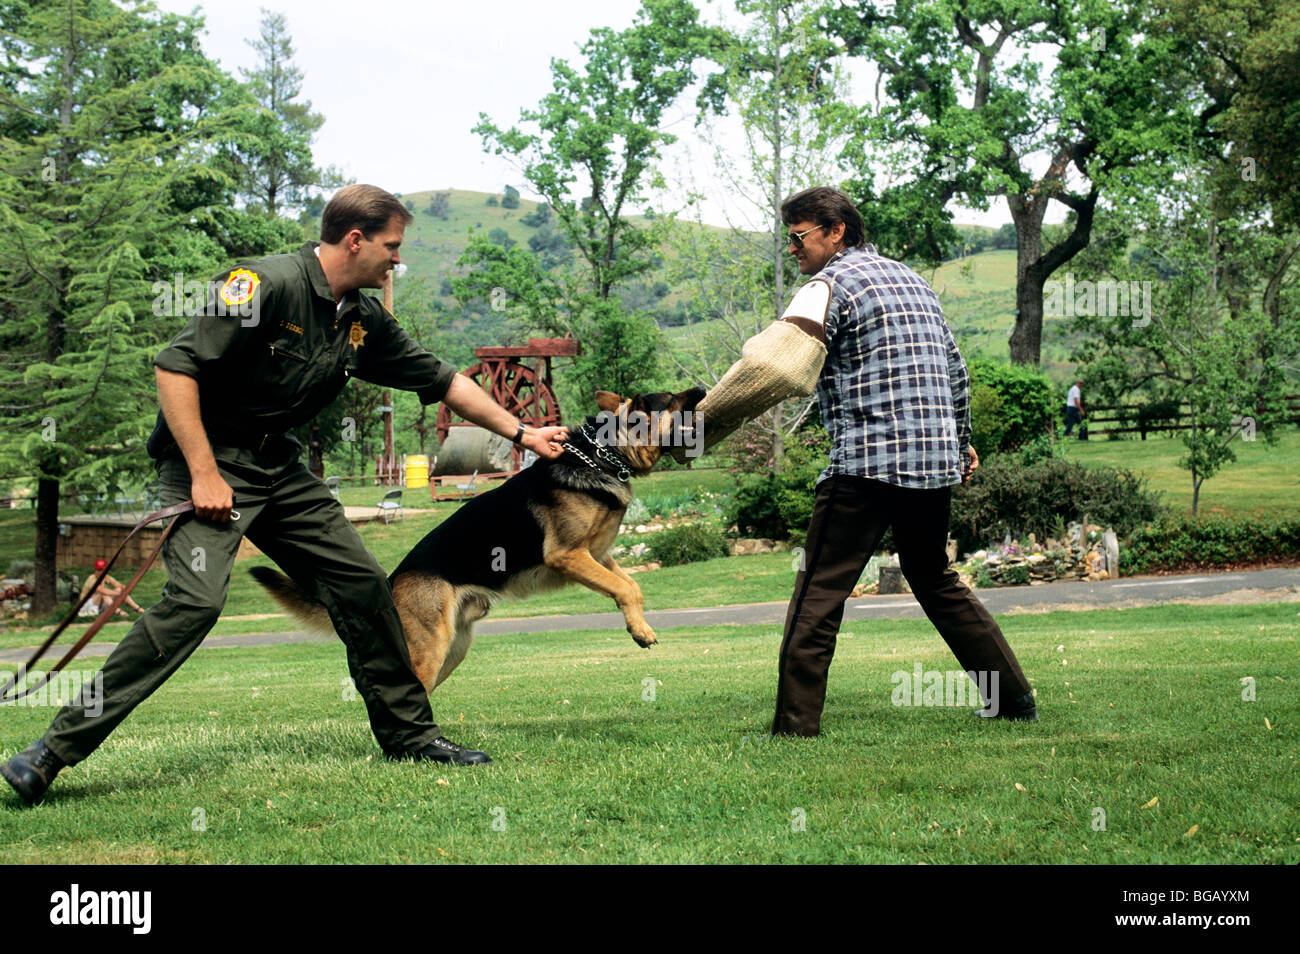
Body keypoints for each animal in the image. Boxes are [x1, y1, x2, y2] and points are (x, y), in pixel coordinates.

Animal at [248, 387, 707, 696]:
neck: (601, 455)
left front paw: (637, 625)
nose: (701, 390)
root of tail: (393, 580)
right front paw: (641, 631)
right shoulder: (569, 556)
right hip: (432, 648)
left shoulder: (599, 556)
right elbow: (626, 588)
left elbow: (631, 586)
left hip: (454, 649)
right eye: (669, 399)